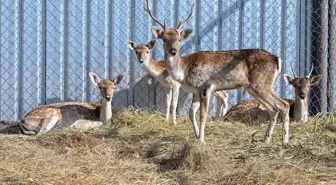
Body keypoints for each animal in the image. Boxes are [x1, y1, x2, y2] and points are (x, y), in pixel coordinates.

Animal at [145, 0, 292, 145]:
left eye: (179, 39)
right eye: (164, 39)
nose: (173, 51)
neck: (183, 72)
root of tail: (277, 59)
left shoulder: (205, 87)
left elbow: (202, 115)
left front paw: (201, 141)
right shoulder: (195, 91)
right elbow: (191, 113)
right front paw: (196, 135)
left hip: (261, 84)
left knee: (283, 105)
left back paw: (285, 141)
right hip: (254, 87)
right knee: (274, 109)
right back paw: (266, 140)